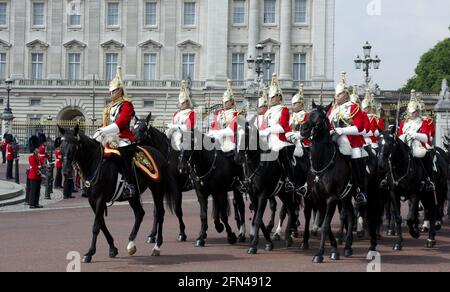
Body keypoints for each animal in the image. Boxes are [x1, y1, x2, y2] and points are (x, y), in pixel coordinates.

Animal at [59, 125, 178, 262]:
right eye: (61, 146)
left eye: (75, 146)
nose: (66, 170)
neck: (94, 163)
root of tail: (159, 153)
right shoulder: (92, 200)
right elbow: (102, 224)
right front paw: (112, 248)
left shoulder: (100, 198)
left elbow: (96, 226)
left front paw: (89, 253)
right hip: (134, 196)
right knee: (140, 213)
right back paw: (131, 244)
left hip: (157, 189)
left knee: (159, 213)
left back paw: (157, 246)